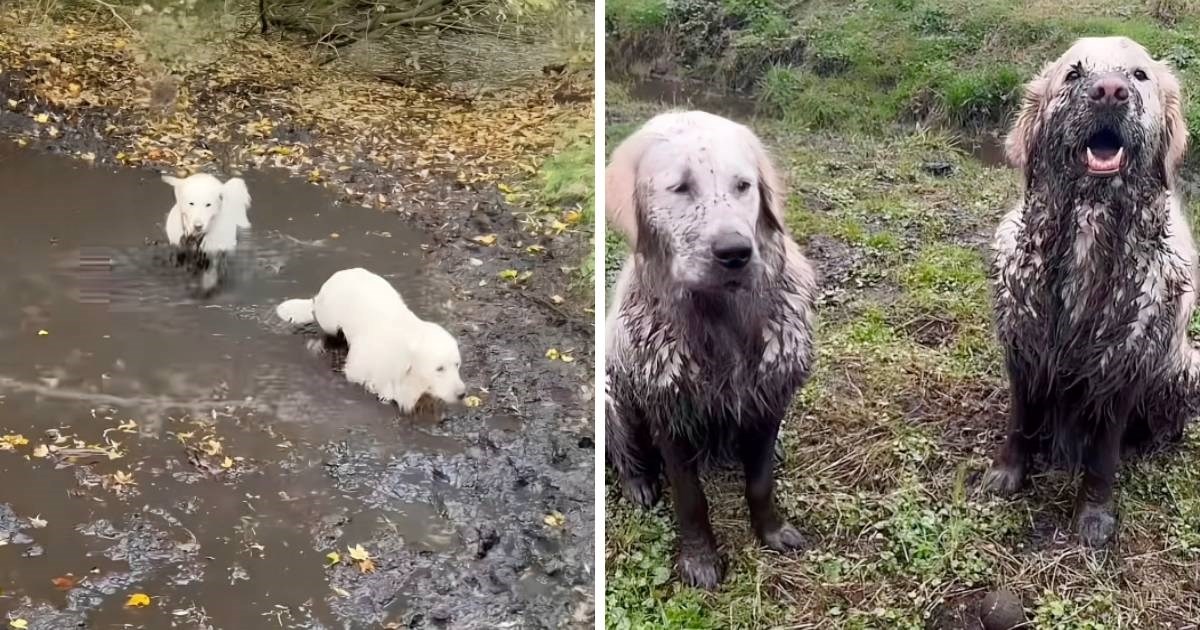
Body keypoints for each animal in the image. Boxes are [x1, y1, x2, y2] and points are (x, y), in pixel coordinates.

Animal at [276, 265, 468, 412]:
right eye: (439, 368)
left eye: (457, 365)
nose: (462, 394)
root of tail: (341, 274)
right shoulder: (356, 370)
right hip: (328, 319)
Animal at [604, 110, 820, 588]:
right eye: (680, 187)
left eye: (744, 185)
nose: (735, 252)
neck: (722, 322)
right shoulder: (670, 409)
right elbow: (690, 498)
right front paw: (700, 559)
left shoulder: (769, 397)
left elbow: (760, 481)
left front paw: (771, 530)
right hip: (613, 394)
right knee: (626, 451)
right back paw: (638, 482)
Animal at [984, 36, 1200, 544]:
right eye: (1074, 73)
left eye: (1139, 75)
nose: (1110, 91)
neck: (1090, 221)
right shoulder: (1023, 343)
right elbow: (1020, 421)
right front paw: (1008, 472)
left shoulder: (1123, 361)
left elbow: (1103, 453)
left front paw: (1093, 515)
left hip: (1187, 366)